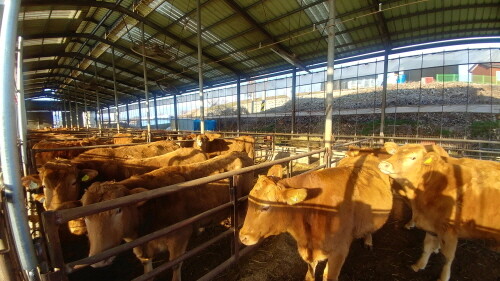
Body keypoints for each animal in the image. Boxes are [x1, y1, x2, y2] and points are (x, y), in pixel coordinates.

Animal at [82, 151, 254, 280]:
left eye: (119, 210)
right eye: (85, 216)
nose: (98, 260)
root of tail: (239, 153)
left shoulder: (180, 236)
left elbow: (175, 264)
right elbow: (148, 270)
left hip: (243, 205)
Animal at [239, 160, 394, 280]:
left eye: (265, 207)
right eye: (249, 200)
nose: (242, 236)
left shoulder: (340, 250)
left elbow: (329, 276)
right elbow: (310, 275)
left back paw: (368, 241)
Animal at [378, 144, 500, 280]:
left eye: (413, 157)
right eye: (395, 152)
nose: (384, 164)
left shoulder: (449, 231)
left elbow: (447, 257)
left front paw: (444, 276)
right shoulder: (431, 224)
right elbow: (427, 246)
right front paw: (419, 264)